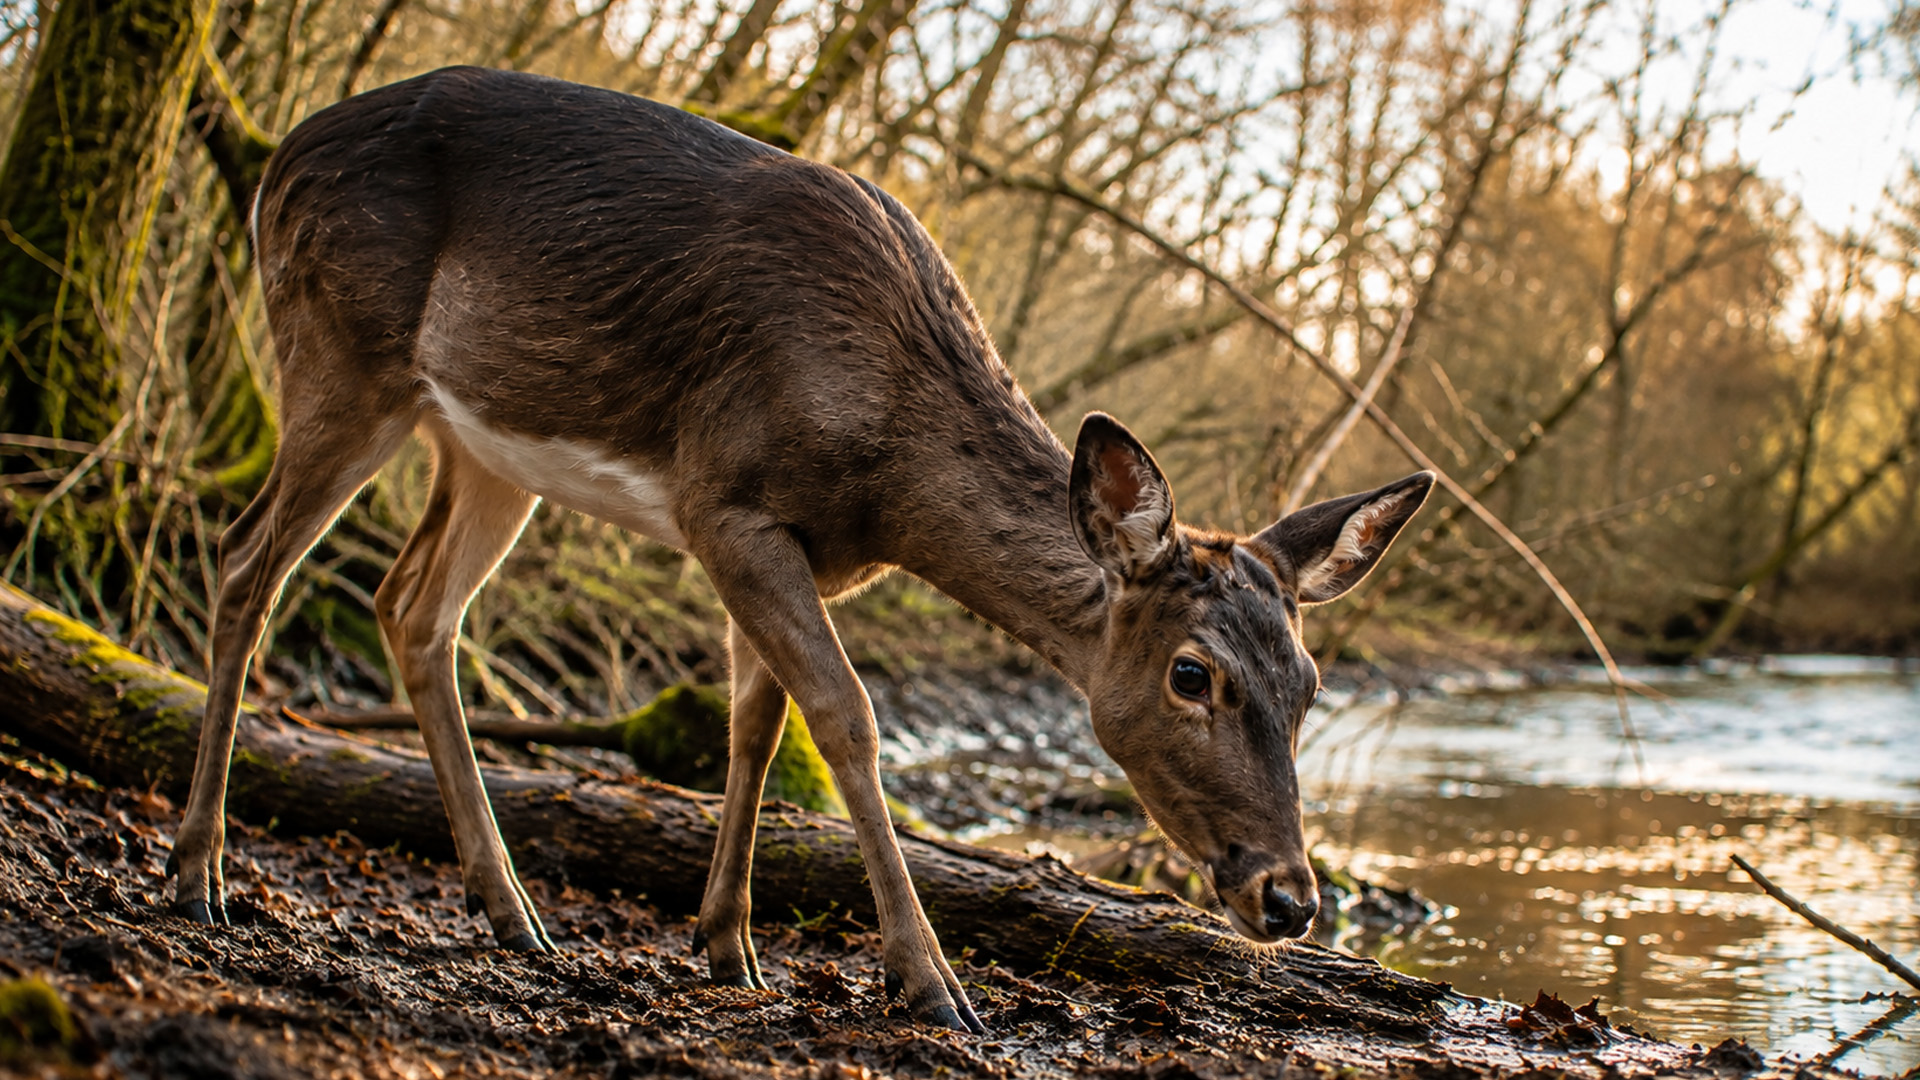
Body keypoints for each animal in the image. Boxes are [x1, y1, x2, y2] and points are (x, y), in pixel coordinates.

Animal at [166, 66, 1434, 1033]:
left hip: (482, 445)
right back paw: (198, 871)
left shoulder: (796, 547)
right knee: (246, 558)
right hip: (337, 347)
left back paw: (508, 906)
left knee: (411, 604)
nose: (1291, 900)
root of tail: (275, 160)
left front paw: (727, 945)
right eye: (1190, 673)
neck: (889, 472)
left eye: (1310, 683)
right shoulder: (722, 499)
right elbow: (845, 716)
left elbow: (754, 724)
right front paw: (929, 983)